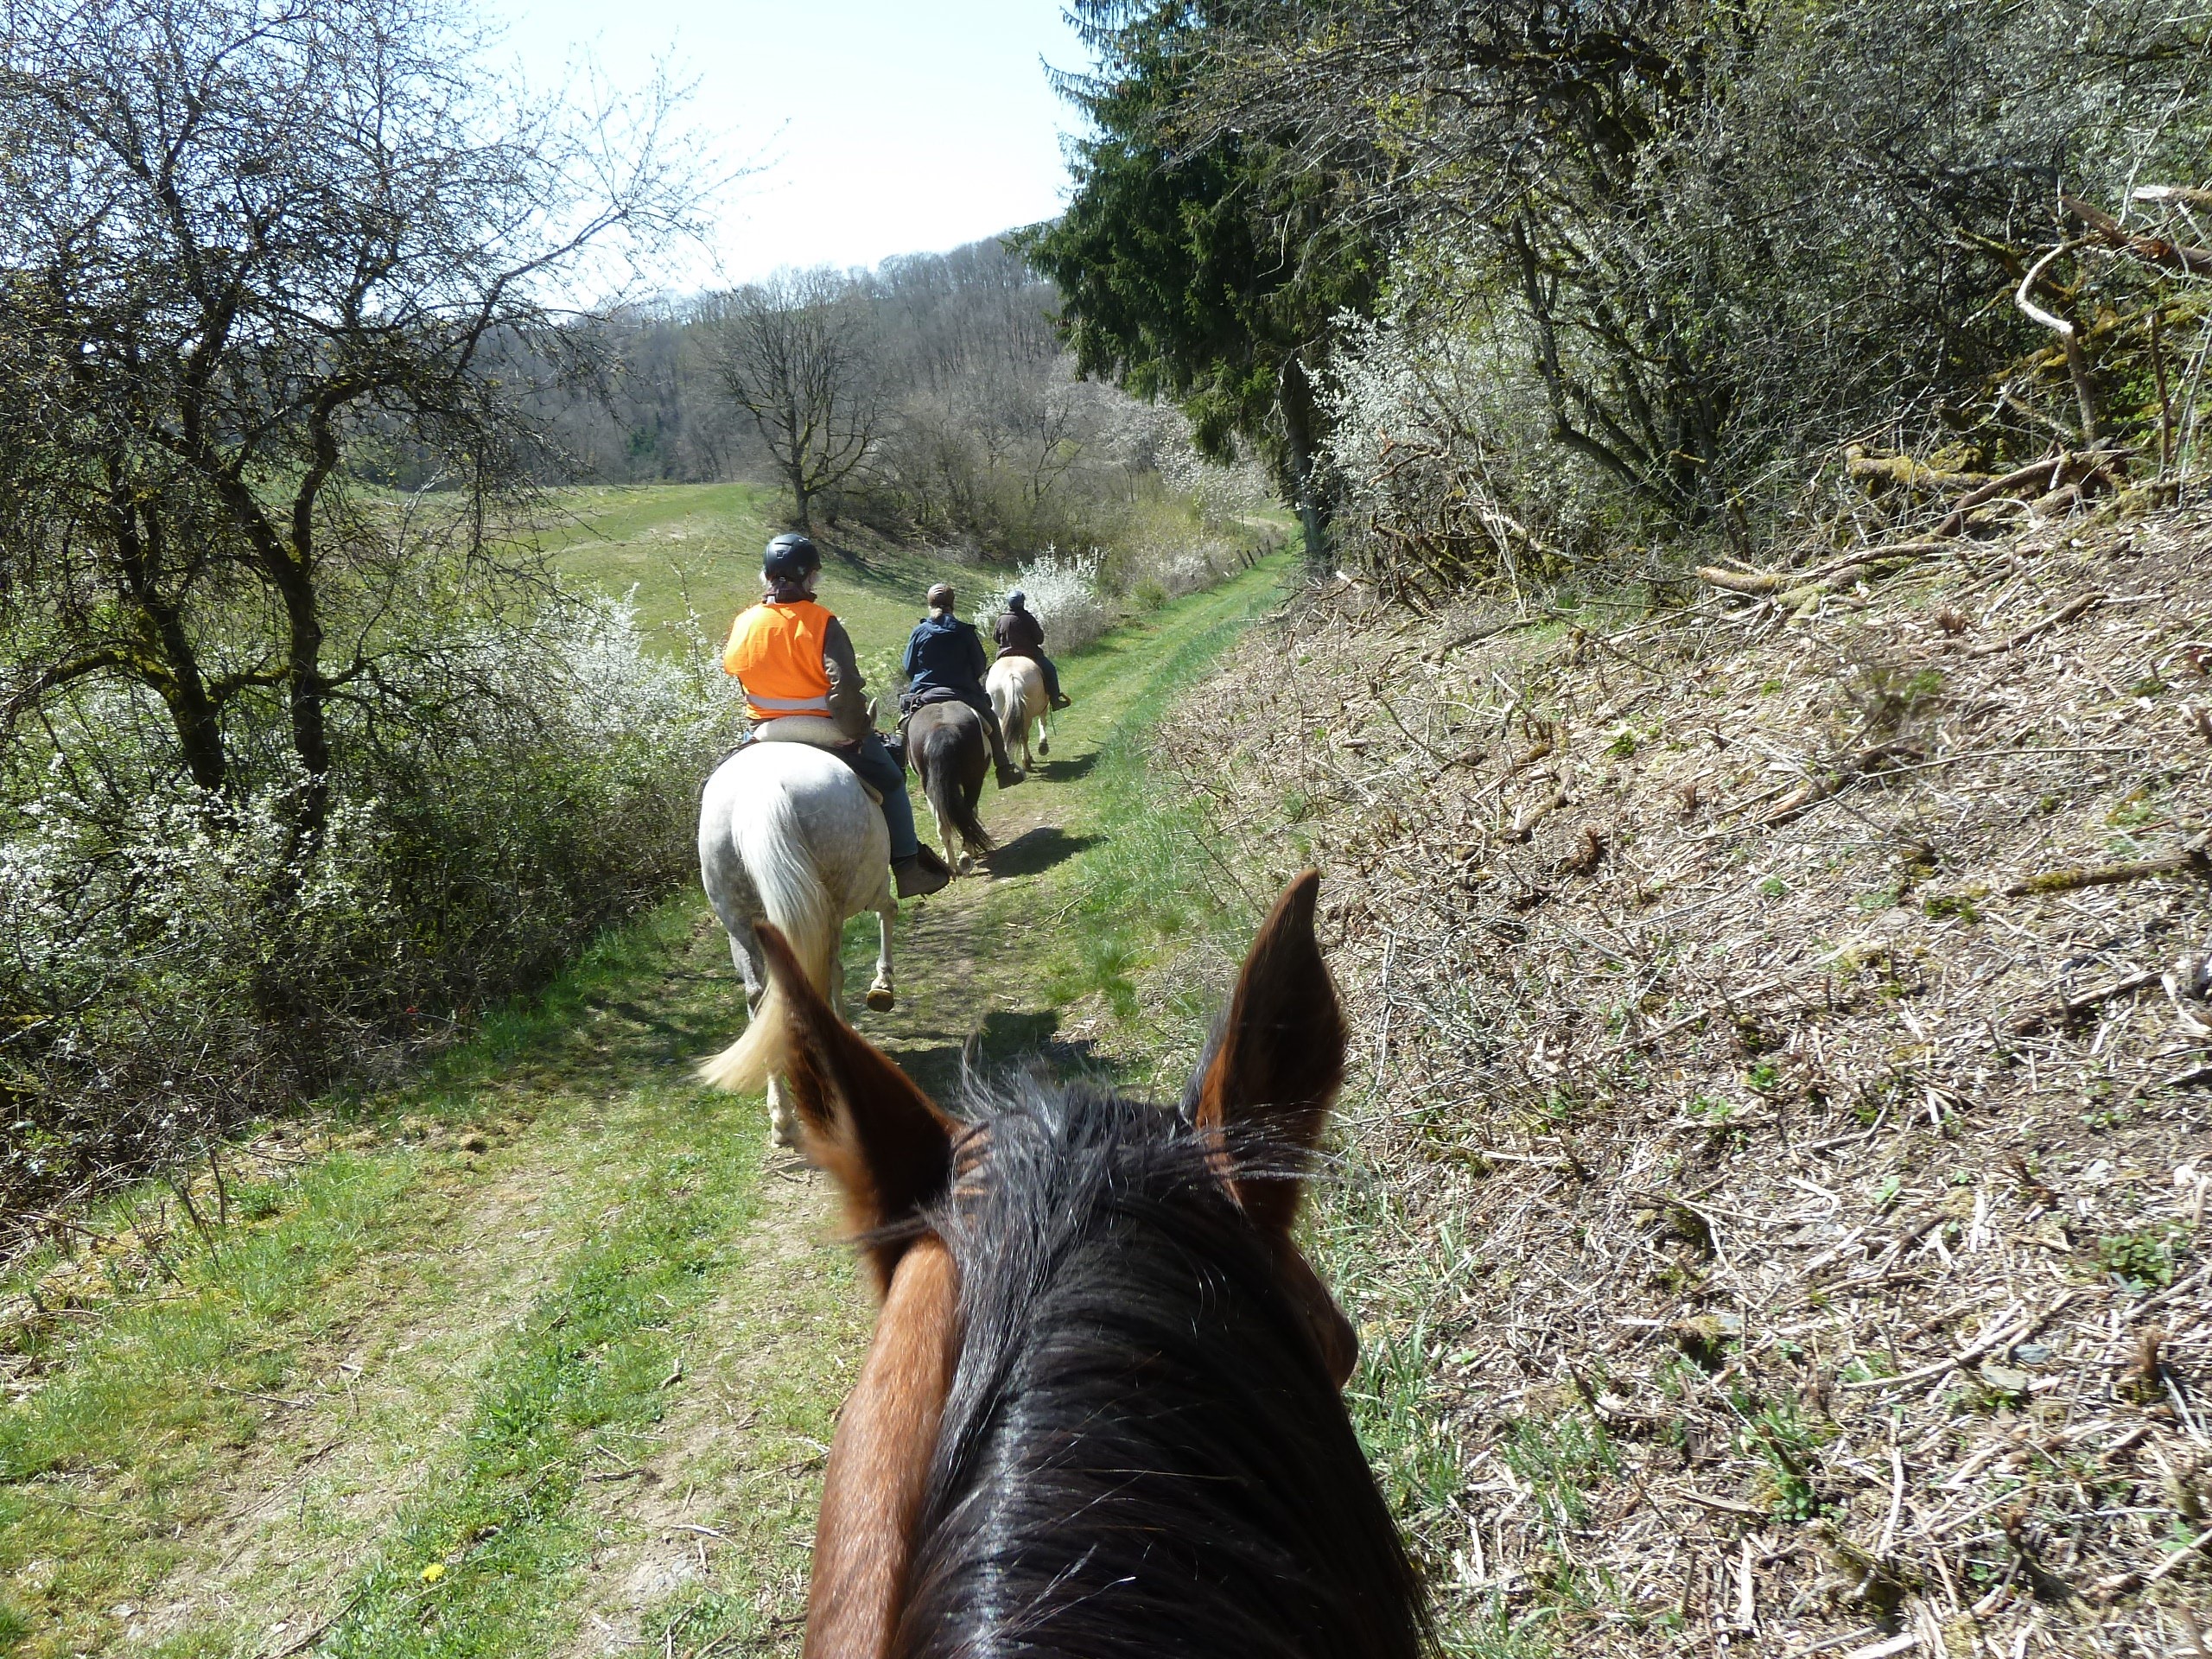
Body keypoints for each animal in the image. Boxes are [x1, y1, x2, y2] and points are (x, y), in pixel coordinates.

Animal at [694, 743, 893, 1150]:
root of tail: (761, 788)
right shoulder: (875, 886)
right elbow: (889, 911)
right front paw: (883, 985)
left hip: (739, 920)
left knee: (761, 996)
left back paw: (782, 1117)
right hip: (832, 905)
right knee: (826, 976)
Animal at [906, 703, 995, 885]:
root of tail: (942, 726)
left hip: (931, 788)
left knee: (943, 825)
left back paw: (953, 867)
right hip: (973, 781)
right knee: (967, 814)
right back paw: (966, 856)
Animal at [990, 654, 1048, 774]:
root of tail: (1011, 674)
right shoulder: (1044, 707)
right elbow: (1042, 722)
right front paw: (1043, 746)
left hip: (1002, 715)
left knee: (1007, 739)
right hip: (1027, 715)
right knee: (1024, 737)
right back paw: (1026, 763)